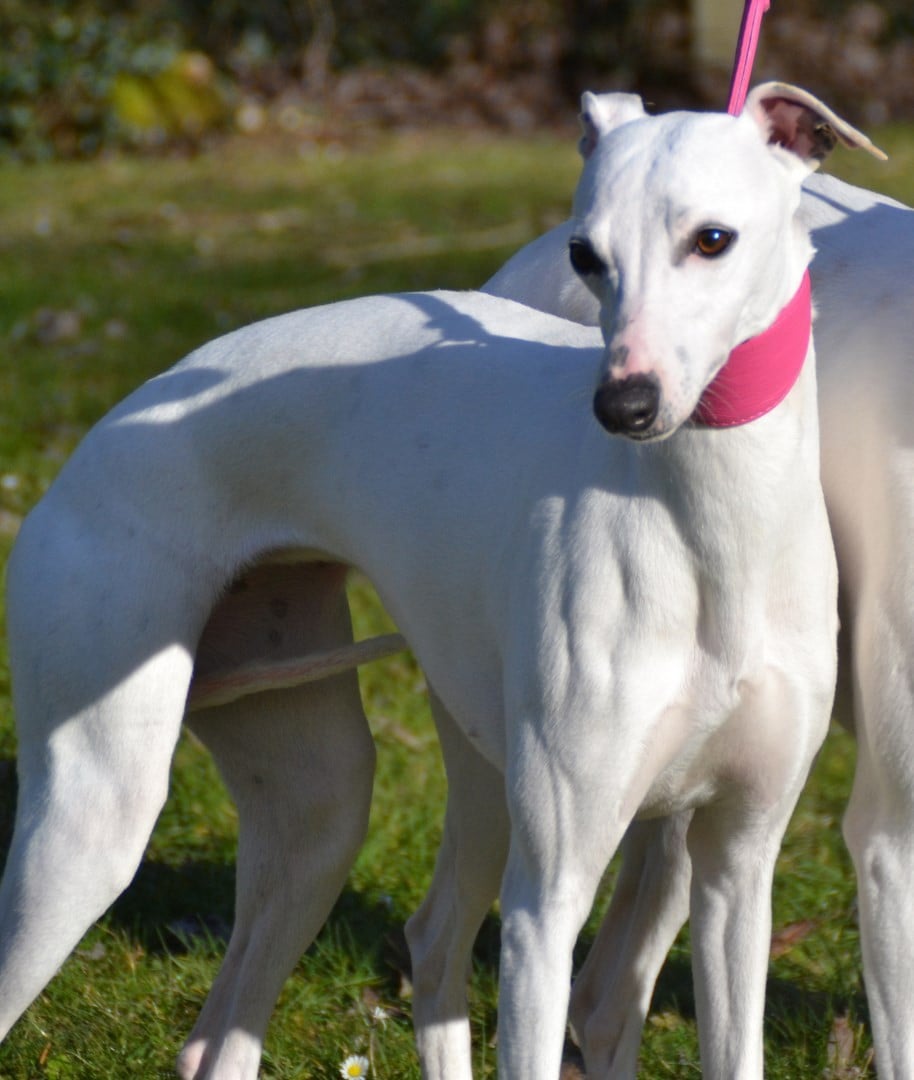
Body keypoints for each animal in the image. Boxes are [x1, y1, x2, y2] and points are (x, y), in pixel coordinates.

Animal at [1, 86, 859, 1080]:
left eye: (712, 239)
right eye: (584, 253)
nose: (624, 405)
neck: (709, 529)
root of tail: (92, 443)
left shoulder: (738, 866)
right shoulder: (548, 899)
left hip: (332, 807)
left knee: (283, 1002)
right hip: (95, 813)